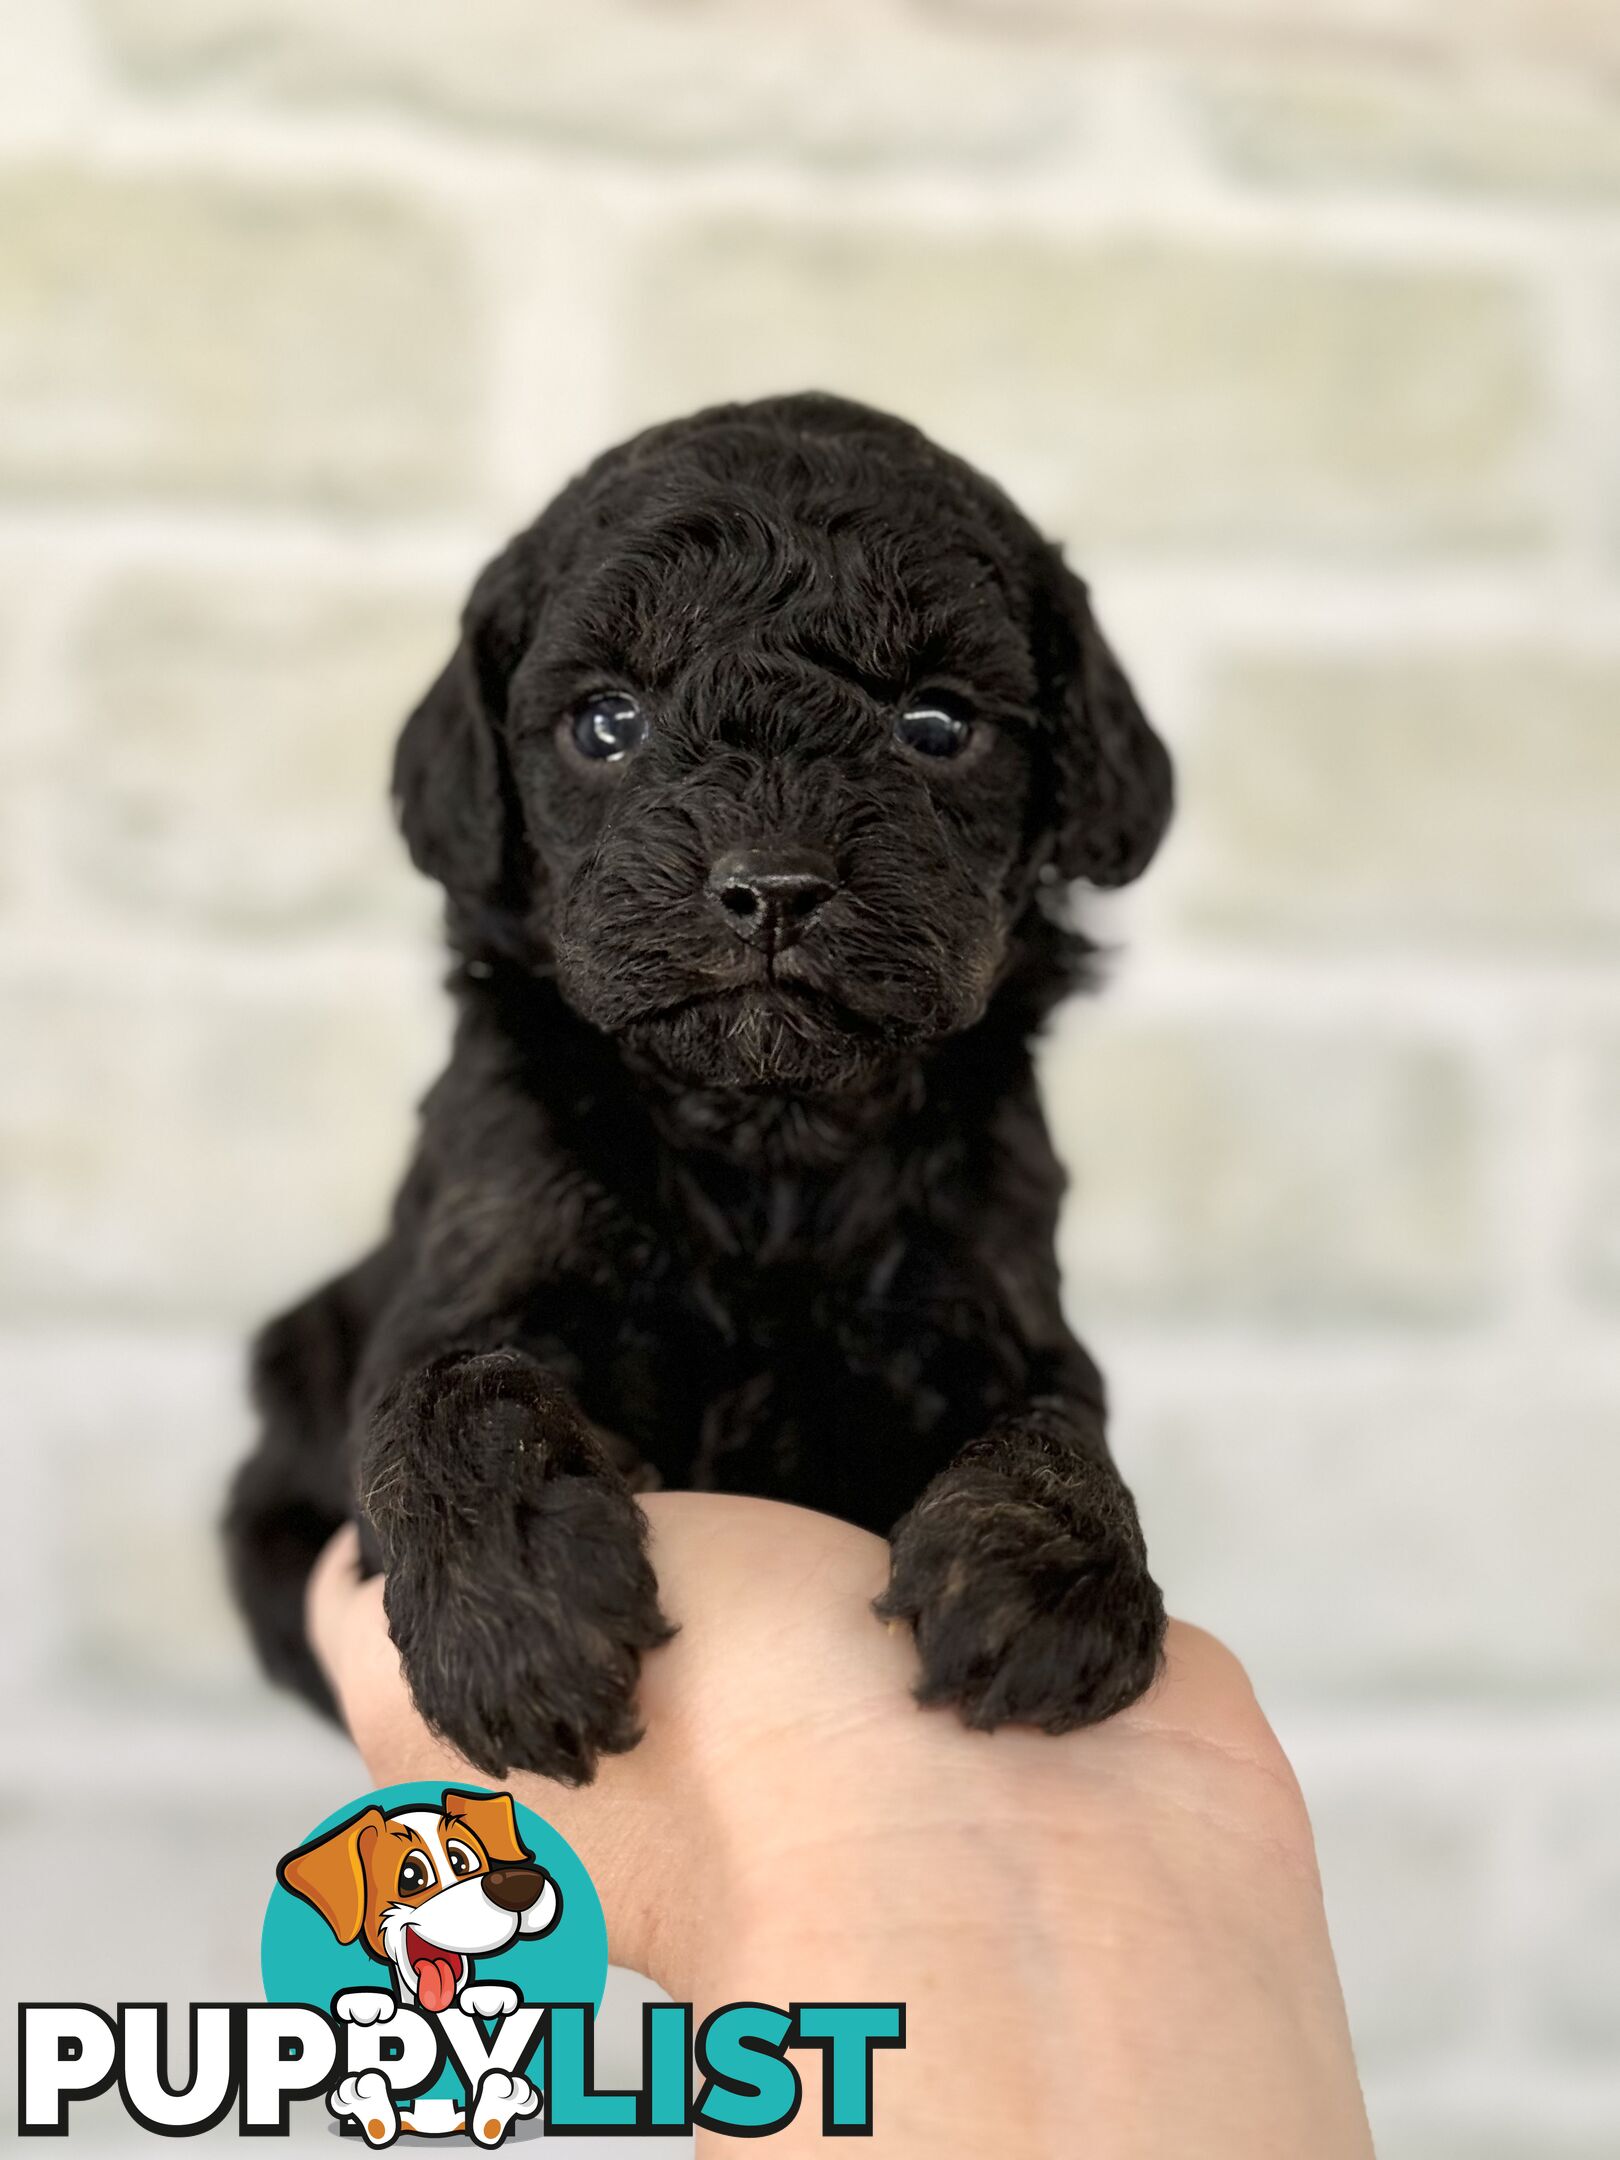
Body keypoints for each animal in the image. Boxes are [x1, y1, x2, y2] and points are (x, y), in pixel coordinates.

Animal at [228, 397, 1175, 1779]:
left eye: (938, 726)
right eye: (607, 722)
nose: (771, 885)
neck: (768, 1134)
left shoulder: (991, 1298)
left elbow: (1057, 1423)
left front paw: (1044, 1588)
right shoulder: (479, 1245)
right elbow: (455, 1385)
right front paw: (518, 1616)